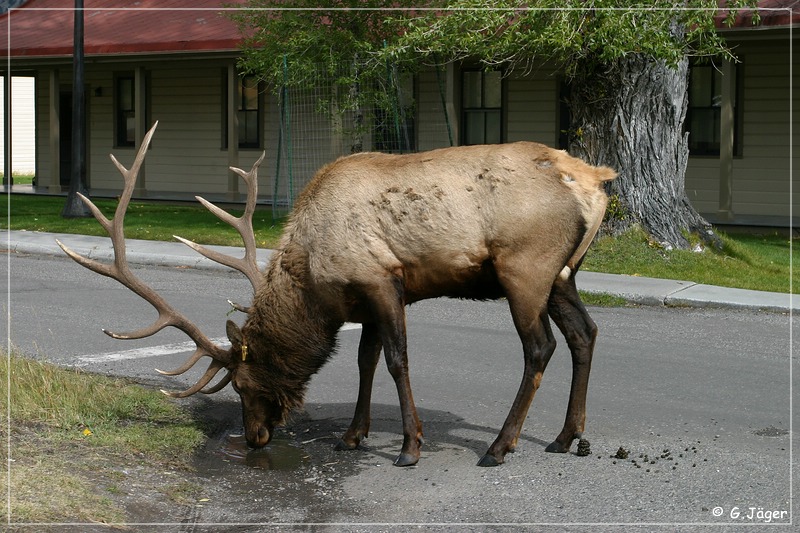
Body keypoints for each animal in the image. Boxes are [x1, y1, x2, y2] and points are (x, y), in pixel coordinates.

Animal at [59, 120, 616, 466]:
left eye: (241, 384)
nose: (255, 438)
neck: (314, 283)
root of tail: (595, 180)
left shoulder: (382, 281)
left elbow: (395, 360)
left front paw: (409, 447)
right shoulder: (362, 300)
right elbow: (365, 360)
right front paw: (352, 436)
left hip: (525, 266)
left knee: (540, 347)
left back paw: (500, 446)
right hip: (563, 274)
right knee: (585, 333)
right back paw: (566, 437)